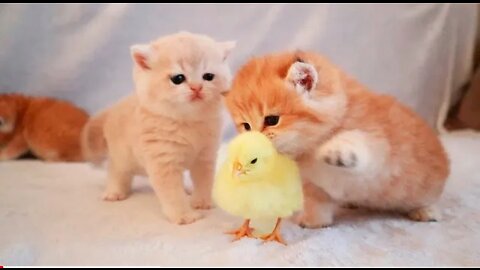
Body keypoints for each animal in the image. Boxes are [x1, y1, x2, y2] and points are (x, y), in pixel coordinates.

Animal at [83, 31, 236, 225]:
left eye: (208, 76)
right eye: (178, 78)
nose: (197, 88)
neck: (187, 122)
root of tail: (113, 108)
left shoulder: (205, 157)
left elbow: (204, 182)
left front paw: (201, 202)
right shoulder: (163, 162)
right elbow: (172, 194)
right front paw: (184, 215)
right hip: (122, 156)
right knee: (116, 171)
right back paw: (114, 192)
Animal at [225, 51, 450, 228]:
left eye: (272, 120)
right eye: (246, 126)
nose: (252, 145)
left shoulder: (380, 149)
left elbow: (357, 140)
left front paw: (335, 150)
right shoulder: (312, 184)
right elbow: (317, 202)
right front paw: (314, 221)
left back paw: (427, 212)